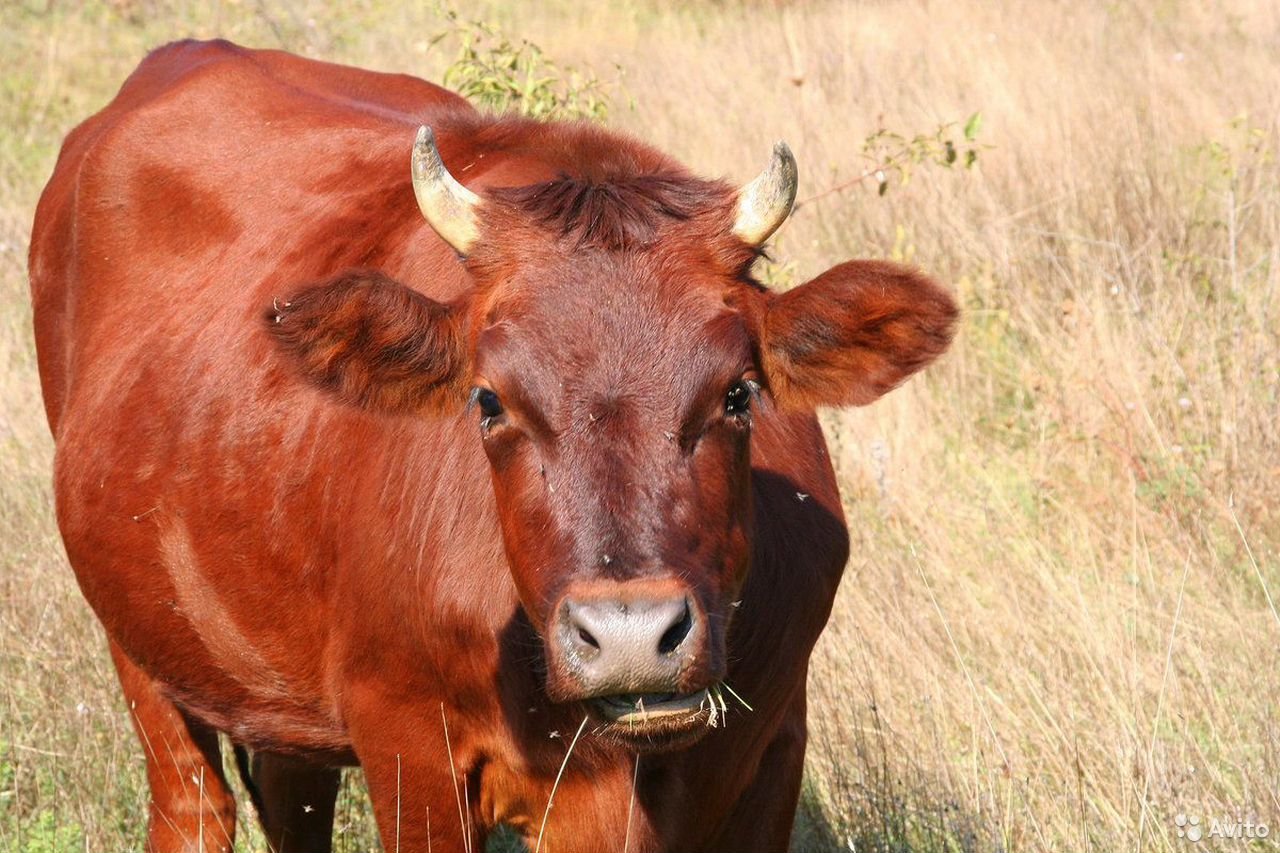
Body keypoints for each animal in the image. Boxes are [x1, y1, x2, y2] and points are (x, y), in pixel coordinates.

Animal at [27, 39, 952, 850]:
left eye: (738, 392)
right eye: (489, 401)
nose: (628, 635)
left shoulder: (773, 748)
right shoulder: (409, 742)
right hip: (138, 639)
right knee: (192, 803)